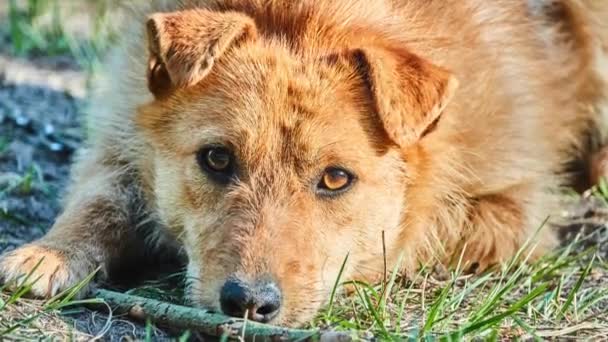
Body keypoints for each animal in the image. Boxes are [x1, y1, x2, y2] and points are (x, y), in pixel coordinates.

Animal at [1, 0, 608, 326]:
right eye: (217, 158)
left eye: (336, 178)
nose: (249, 304)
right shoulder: (123, 130)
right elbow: (101, 199)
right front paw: (50, 253)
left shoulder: (512, 210)